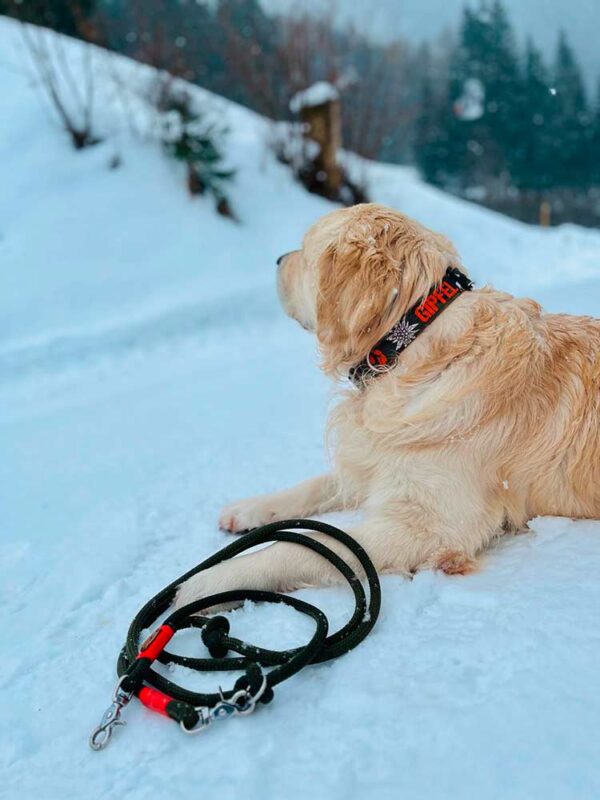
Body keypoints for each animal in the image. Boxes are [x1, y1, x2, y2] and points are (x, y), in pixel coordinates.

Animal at [176, 202, 596, 608]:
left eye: (306, 252)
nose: (278, 259)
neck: (409, 346)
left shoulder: (431, 527)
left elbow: (306, 547)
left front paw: (207, 585)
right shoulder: (377, 457)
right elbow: (316, 484)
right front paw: (250, 508)